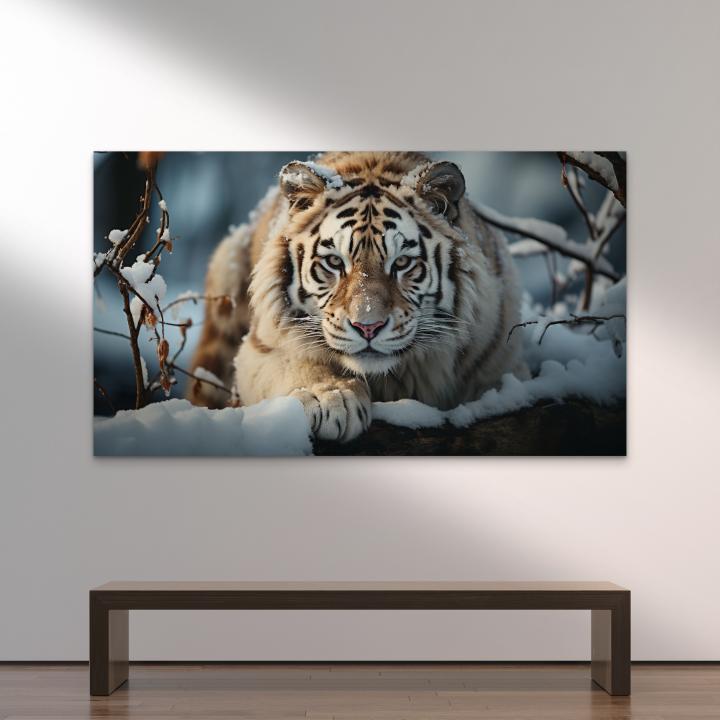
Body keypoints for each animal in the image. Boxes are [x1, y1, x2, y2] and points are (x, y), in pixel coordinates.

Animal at [189, 151, 527, 442]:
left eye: (401, 263)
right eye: (334, 262)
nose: (367, 327)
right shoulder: (259, 348)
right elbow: (295, 363)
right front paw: (330, 399)